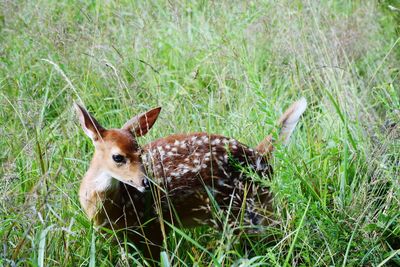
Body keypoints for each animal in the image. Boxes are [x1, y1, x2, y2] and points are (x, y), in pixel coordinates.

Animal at [74, 98, 306, 262]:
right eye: (118, 157)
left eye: (141, 152)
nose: (145, 183)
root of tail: (259, 156)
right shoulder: (120, 238)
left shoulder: (153, 227)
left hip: (244, 207)